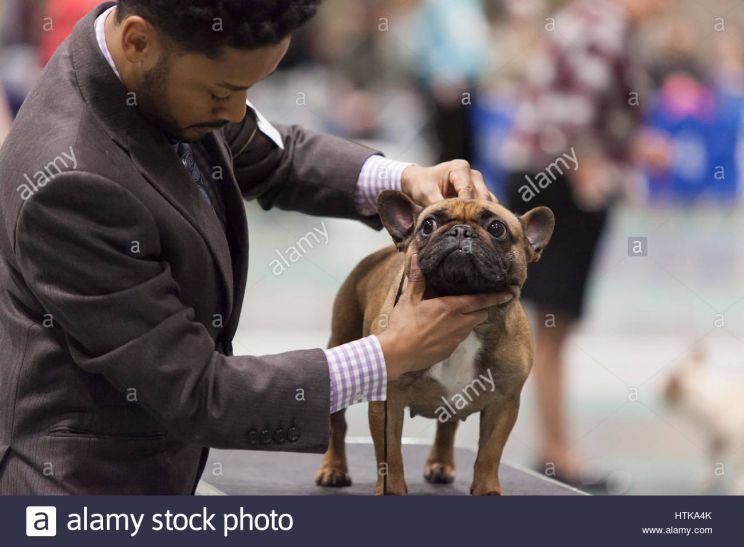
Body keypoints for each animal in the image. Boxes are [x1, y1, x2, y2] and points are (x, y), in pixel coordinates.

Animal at [664, 352, 744, 496]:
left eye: (666, 389)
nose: (659, 399)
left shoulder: (738, 443)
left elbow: (738, 469)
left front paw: (737, 489)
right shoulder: (716, 439)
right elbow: (712, 461)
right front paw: (706, 482)